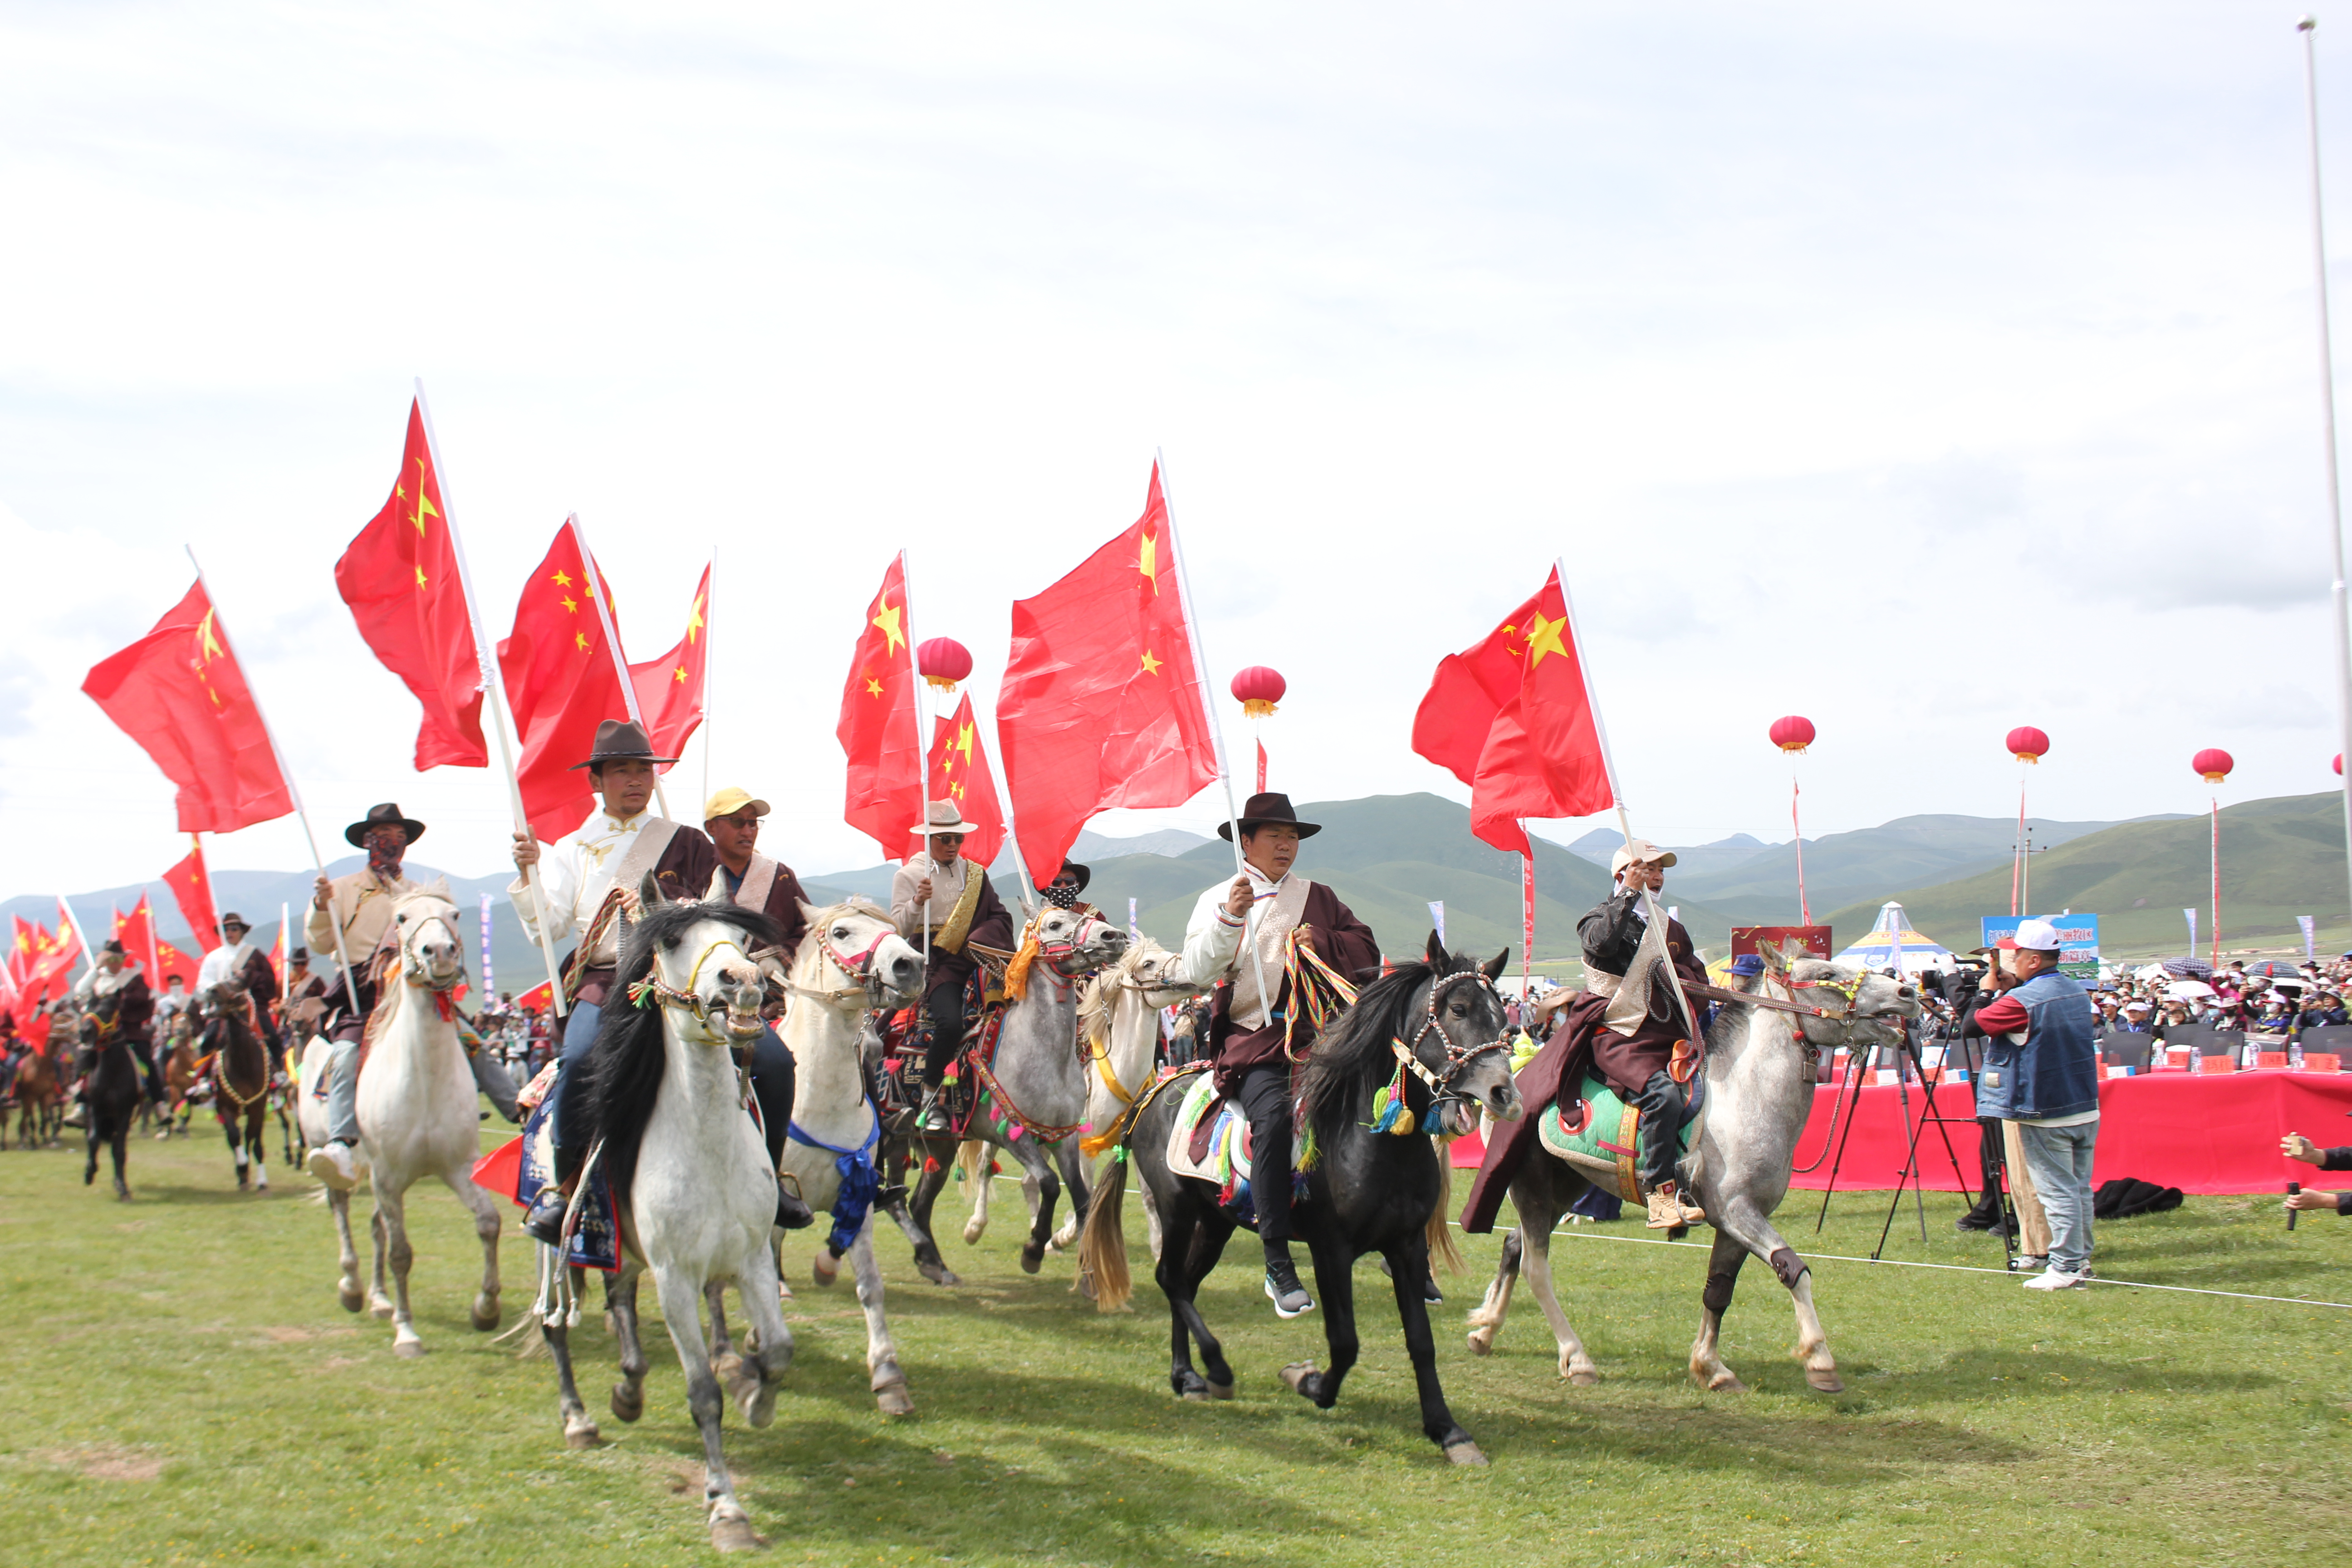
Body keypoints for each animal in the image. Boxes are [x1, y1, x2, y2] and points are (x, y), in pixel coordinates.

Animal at [198, 982, 274, 1191]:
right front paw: (242, 1166)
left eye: (236, 984)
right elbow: (234, 1136)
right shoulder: (225, 1107)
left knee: (249, 1138)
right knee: (236, 1138)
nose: (212, 991)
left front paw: (262, 1181)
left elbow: (255, 1143)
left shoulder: (258, 1108)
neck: (243, 1064)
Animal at [293, 883, 503, 1356]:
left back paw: (379, 1299)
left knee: (375, 1228)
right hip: (341, 1160)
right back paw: (353, 1288)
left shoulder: (457, 1168)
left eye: (454, 915)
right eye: (403, 919)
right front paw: (407, 1333)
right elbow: (402, 1253)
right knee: (342, 1210)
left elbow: (488, 1224)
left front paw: (485, 1309)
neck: (423, 1078)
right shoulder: (388, 1177)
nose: (440, 952)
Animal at [895, 905, 1130, 1282]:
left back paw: (934, 1266)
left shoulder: (1063, 1137)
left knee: (920, 1202)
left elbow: (1081, 1197)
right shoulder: (1011, 1134)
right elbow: (1049, 1183)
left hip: (940, 1150)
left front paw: (1088, 1273)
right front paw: (1033, 1250)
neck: (1044, 1053)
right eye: (1055, 924)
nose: (1114, 938)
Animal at [1083, 938, 1523, 1463]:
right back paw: (1212, 1367)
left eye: (1504, 1021)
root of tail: (1155, 1090)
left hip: (1216, 1221)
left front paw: (1446, 1429)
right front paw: (1308, 1382)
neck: (1370, 1137)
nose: (1505, 1095)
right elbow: (1345, 1342)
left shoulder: (1407, 1245)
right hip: (1176, 1208)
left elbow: (1421, 1341)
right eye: (1458, 1010)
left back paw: (1189, 1375)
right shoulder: (1330, 1249)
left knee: (1184, 1283)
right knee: (1170, 1278)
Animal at [1463, 947, 1918, 1393]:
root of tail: (1511, 1083)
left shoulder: (1737, 1223)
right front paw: (1821, 1362)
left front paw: (1711, 1367)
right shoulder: (1736, 1211)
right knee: (1535, 1268)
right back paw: (1577, 1360)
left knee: (1514, 1246)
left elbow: (1719, 1291)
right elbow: (1793, 1271)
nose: (1907, 993)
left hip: (1565, 1185)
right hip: (1532, 1186)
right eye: (1827, 973)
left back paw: (1485, 1331)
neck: (1746, 1098)